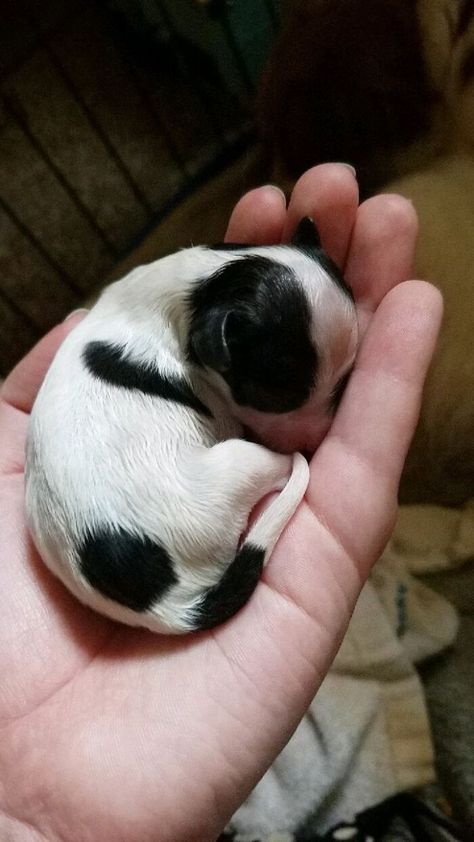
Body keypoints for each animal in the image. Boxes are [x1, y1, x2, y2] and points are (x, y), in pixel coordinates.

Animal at [25, 220, 360, 632]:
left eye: (343, 382)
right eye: (275, 395)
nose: (314, 442)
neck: (203, 288)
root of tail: (167, 608)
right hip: (234, 468)